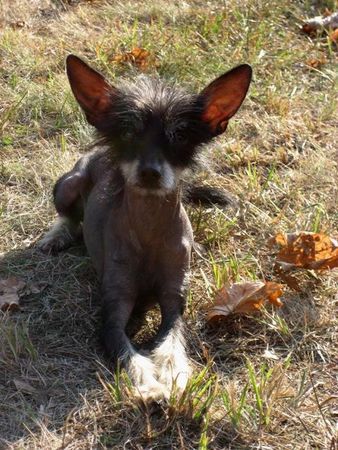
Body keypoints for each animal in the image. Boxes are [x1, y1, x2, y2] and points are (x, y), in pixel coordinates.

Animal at [38, 54, 252, 402]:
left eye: (179, 135)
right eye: (128, 133)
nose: (150, 172)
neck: (149, 231)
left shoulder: (174, 300)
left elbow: (172, 341)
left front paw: (175, 376)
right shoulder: (113, 309)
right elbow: (129, 353)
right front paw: (151, 388)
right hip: (68, 184)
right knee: (68, 215)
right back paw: (56, 236)